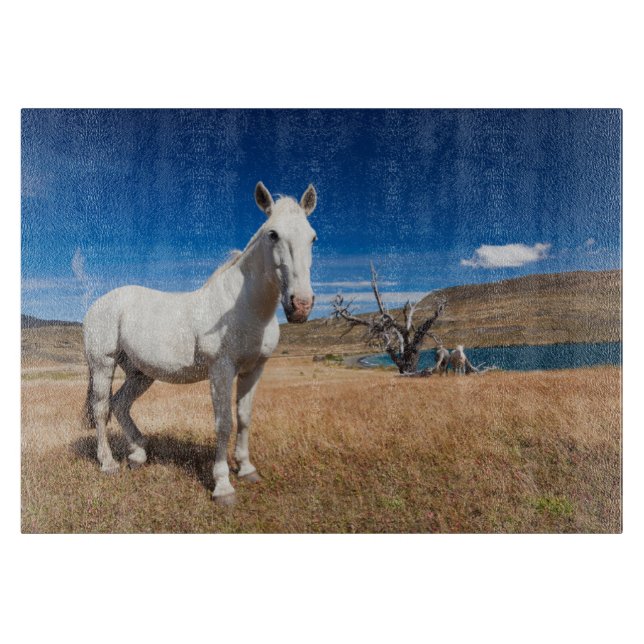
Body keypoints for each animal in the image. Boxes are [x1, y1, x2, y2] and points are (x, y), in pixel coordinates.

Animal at [82, 182, 318, 505]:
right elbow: (224, 422)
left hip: (141, 374)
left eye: (312, 237)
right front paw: (223, 487)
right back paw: (108, 463)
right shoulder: (221, 369)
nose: (301, 306)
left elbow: (244, 417)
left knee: (121, 404)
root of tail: (98, 304)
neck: (244, 308)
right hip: (102, 364)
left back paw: (138, 454)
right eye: (273, 234)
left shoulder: (254, 369)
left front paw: (247, 470)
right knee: (102, 408)